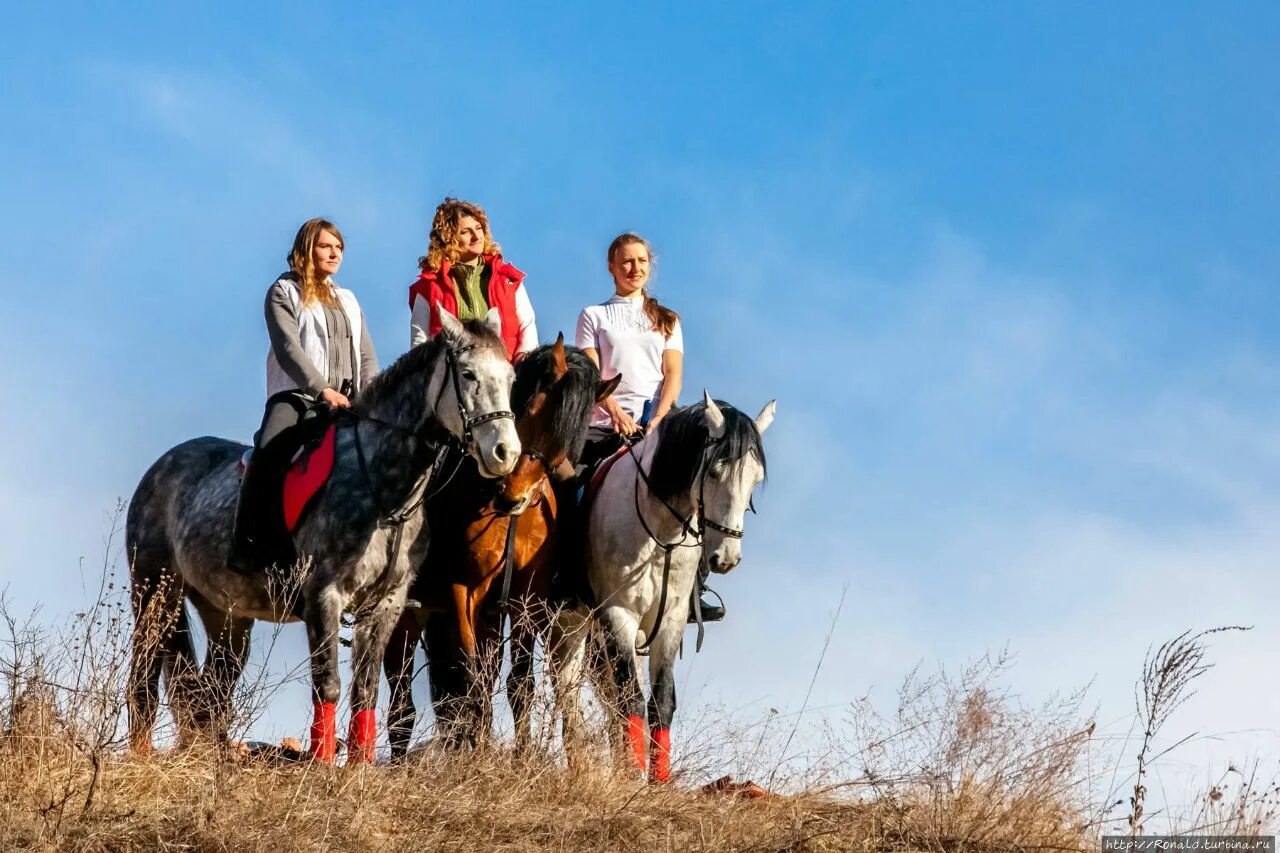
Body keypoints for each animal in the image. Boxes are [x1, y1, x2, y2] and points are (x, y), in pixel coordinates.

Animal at [122, 308, 517, 758]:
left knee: (213, 691)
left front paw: (358, 767)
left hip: (226, 614)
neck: (384, 489)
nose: (505, 453)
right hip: (155, 594)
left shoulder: (385, 604)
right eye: (468, 374)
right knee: (144, 681)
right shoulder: (324, 596)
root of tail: (160, 468)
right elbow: (327, 686)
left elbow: (365, 693)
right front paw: (323, 763)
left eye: (510, 378)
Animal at [547, 389, 768, 778]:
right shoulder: (619, 614)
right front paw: (632, 778)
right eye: (713, 472)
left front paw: (658, 781)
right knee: (569, 692)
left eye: (755, 481)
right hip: (568, 623)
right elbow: (631, 699)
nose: (726, 558)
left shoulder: (671, 620)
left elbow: (661, 702)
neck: (660, 533)